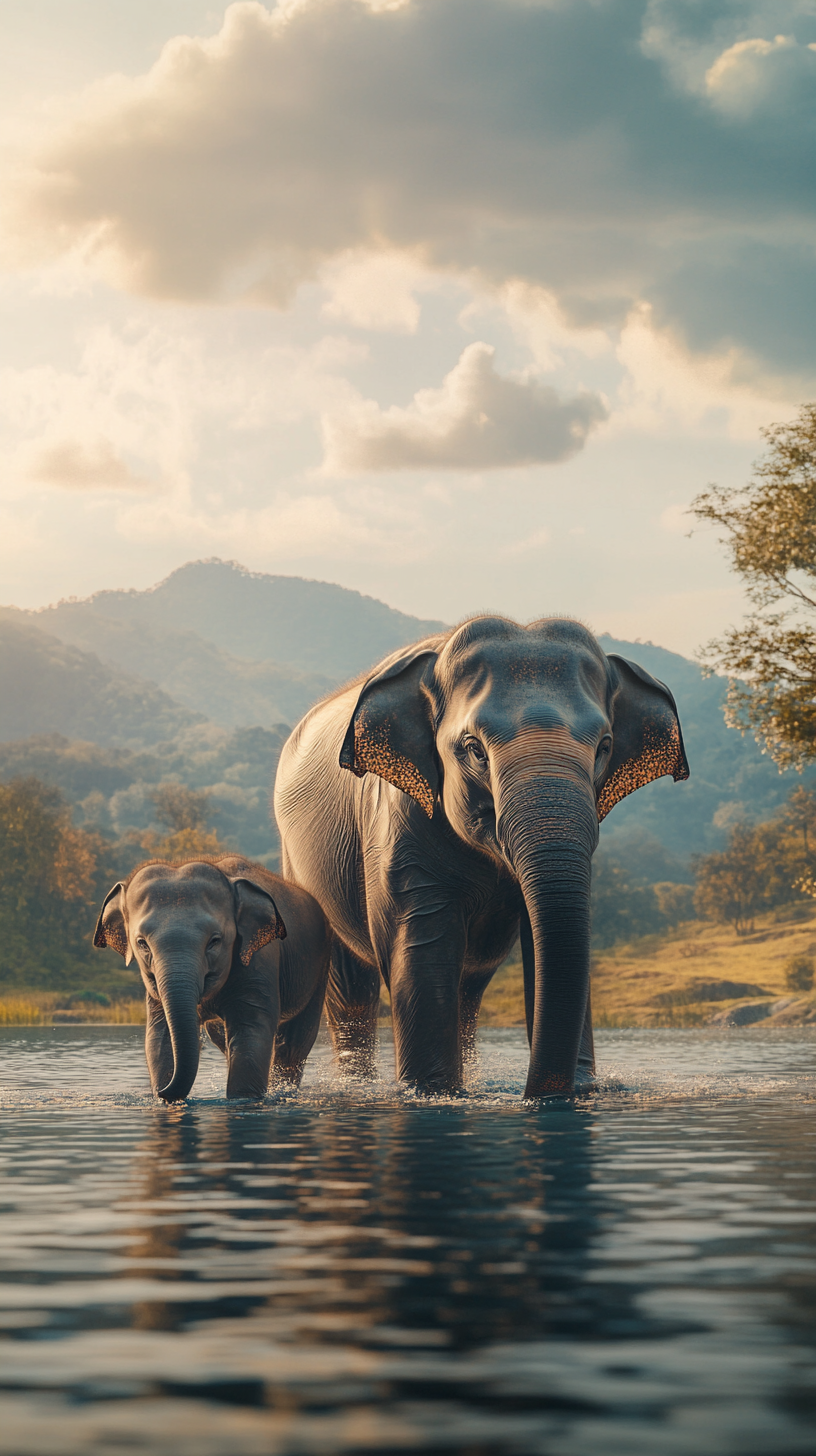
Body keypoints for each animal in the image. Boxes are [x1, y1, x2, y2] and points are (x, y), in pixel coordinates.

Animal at [91, 850, 327, 1100]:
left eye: (215, 941)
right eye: (142, 943)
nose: (160, 1091)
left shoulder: (260, 960)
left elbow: (251, 1030)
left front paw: (243, 1099)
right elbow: (160, 1034)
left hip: (320, 964)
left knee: (294, 1043)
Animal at [275, 611, 687, 1094]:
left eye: (604, 746)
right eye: (474, 749)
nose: (536, 1094)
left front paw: (582, 1088)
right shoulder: (396, 821)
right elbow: (418, 943)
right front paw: (431, 1092)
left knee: (466, 989)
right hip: (301, 863)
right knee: (352, 989)